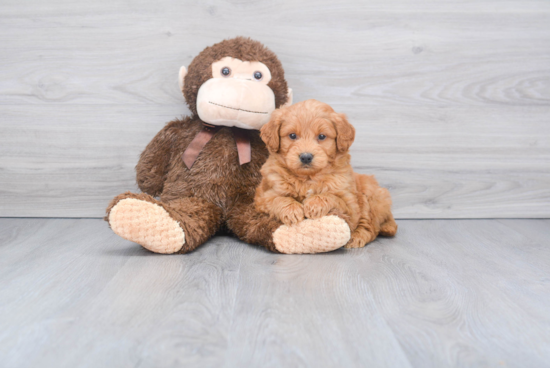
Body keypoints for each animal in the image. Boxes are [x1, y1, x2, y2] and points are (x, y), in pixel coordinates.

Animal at [256, 99, 398, 249]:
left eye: (322, 136)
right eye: (292, 135)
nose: (306, 157)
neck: (308, 178)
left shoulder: (351, 206)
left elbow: (330, 196)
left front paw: (313, 204)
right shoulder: (263, 197)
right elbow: (278, 199)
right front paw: (292, 211)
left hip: (372, 195)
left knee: (370, 226)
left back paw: (356, 238)